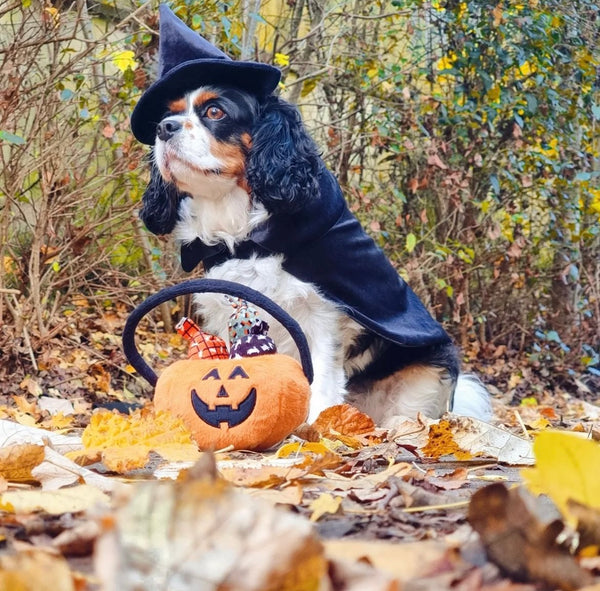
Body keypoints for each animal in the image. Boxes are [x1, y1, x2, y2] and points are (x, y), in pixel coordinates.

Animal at [139, 85, 492, 424]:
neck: (248, 241)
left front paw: (315, 429)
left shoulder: (323, 318)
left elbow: (321, 380)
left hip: (428, 374)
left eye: (215, 111)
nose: (163, 127)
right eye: (169, 114)